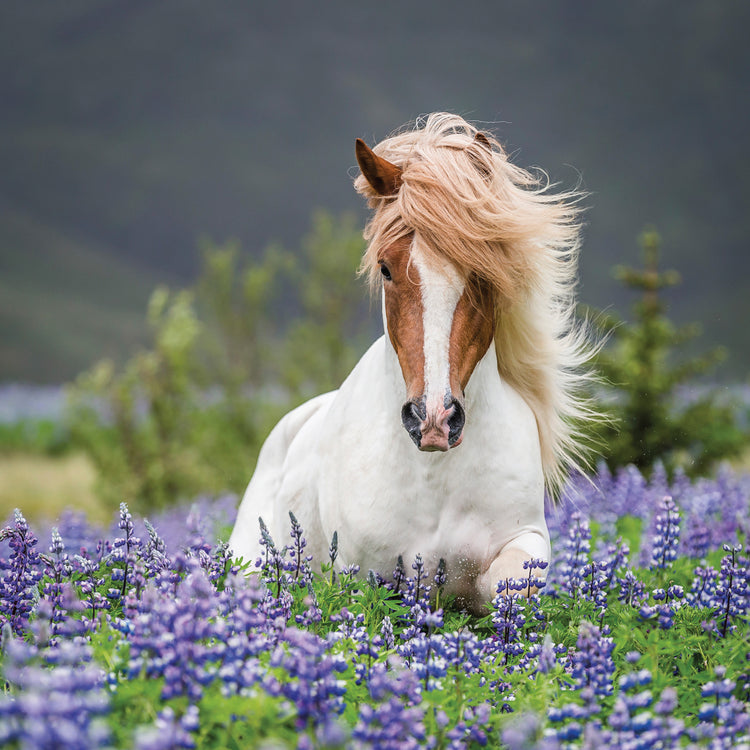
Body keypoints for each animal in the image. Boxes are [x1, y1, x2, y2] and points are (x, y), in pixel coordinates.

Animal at [229, 113, 595, 611]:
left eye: (484, 273)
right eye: (386, 267)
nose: (434, 419)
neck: (434, 476)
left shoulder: (523, 539)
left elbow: (513, 584)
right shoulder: (365, 573)